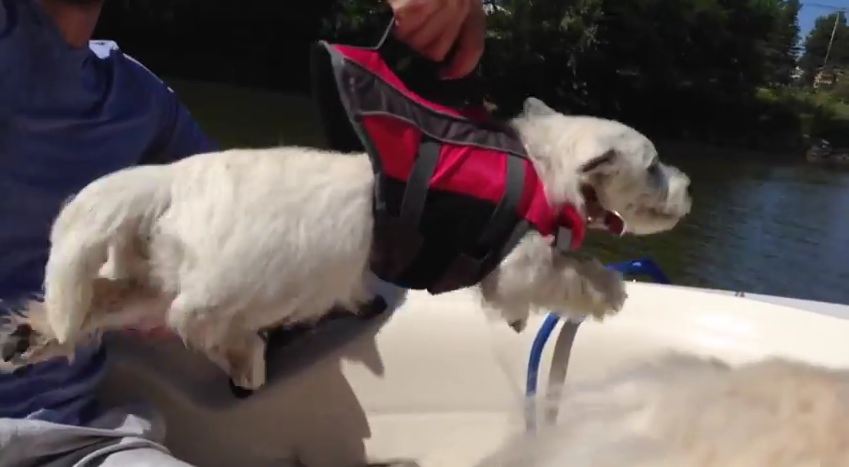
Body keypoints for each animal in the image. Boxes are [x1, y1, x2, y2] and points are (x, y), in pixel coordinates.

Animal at [0, 98, 688, 392]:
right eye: (654, 166)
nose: (687, 187)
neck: (544, 169)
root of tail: (168, 180)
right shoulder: (517, 259)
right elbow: (571, 270)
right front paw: (611, 291)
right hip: (239, 285)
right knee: (191, 320)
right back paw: (246, 355)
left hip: (149, 279)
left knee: (98, 307)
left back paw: (32, 336)